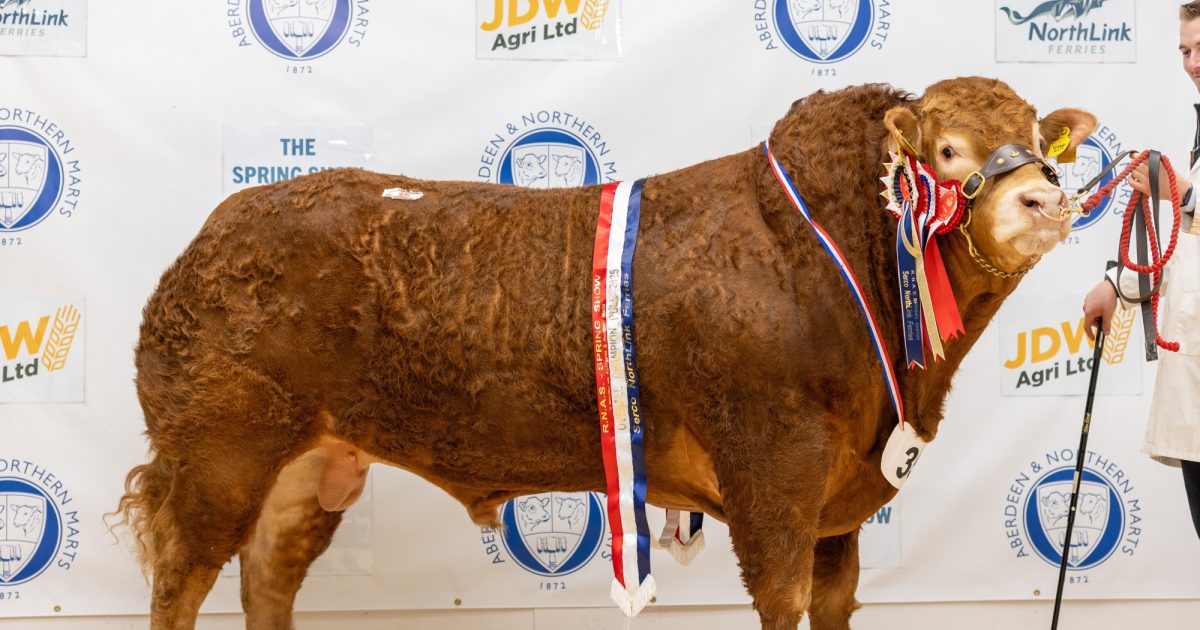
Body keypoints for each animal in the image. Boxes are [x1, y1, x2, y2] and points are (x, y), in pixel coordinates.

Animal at [114, 77, 1095, 629]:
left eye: (1038, 140)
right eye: (948, 150)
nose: (1047, 199)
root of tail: (222, 227)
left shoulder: (838, 508)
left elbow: (833, 605)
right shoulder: (773, 476)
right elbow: (781, 602)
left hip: (307, 468)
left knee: (267, 579)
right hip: (218, 453)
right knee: (180, 581)